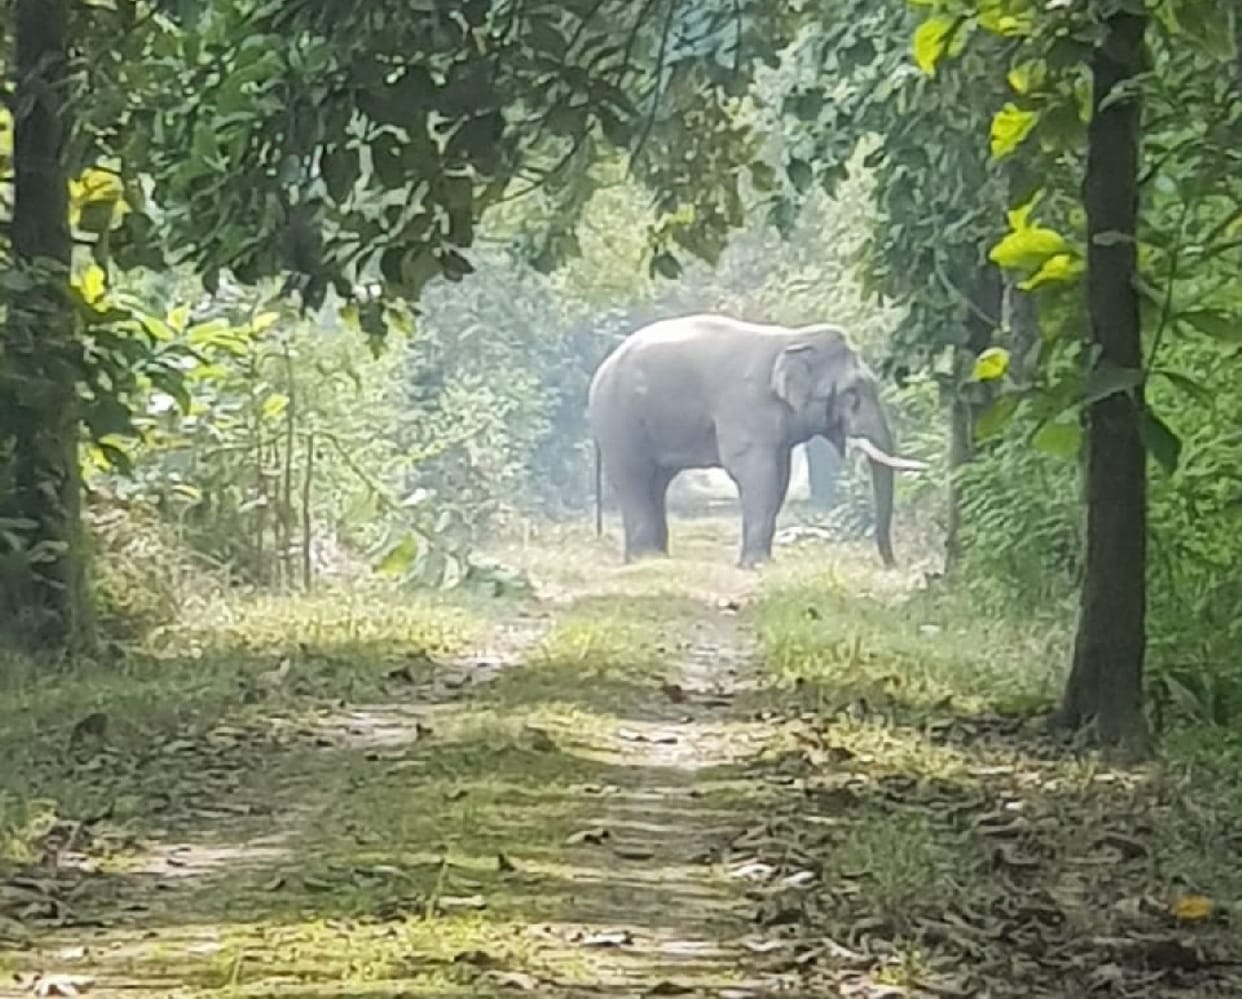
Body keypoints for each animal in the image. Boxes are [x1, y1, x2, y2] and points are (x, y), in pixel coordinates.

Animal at [587, 313, 927, 568]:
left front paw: (761, 562)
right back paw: (646, 559)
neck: (791, 340)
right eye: (852, 392)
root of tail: (602, 368)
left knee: (656, 482)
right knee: (634, 477)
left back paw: (653, 557)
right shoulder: (745, 403)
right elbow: (756, 472)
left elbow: (780, 476)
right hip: (618, 423)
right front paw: (755, 565)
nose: (892, 564)